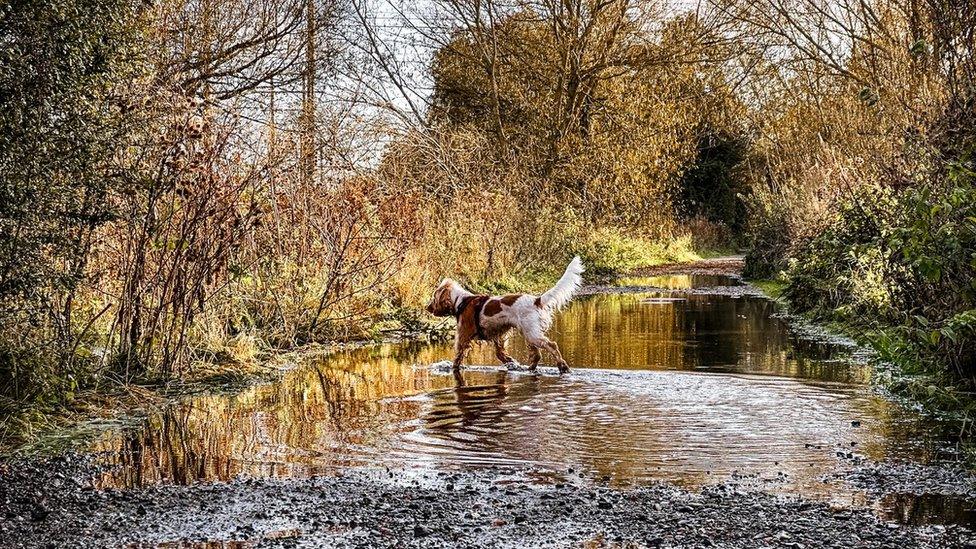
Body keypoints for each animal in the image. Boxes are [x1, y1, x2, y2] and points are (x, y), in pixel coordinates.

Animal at [426, 256, 580, 372]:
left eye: (434, 298)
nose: (427, 308)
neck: (461, 301)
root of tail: (536, 300)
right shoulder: (497, 336)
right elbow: (500, 354)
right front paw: (511, 362)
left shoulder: (463, 335)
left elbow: (458, 355)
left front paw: (453, 367)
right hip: (529, 334)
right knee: (537, 355)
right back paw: (530, 368)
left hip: (532, 334)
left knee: (552, 345)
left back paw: (562, 366)